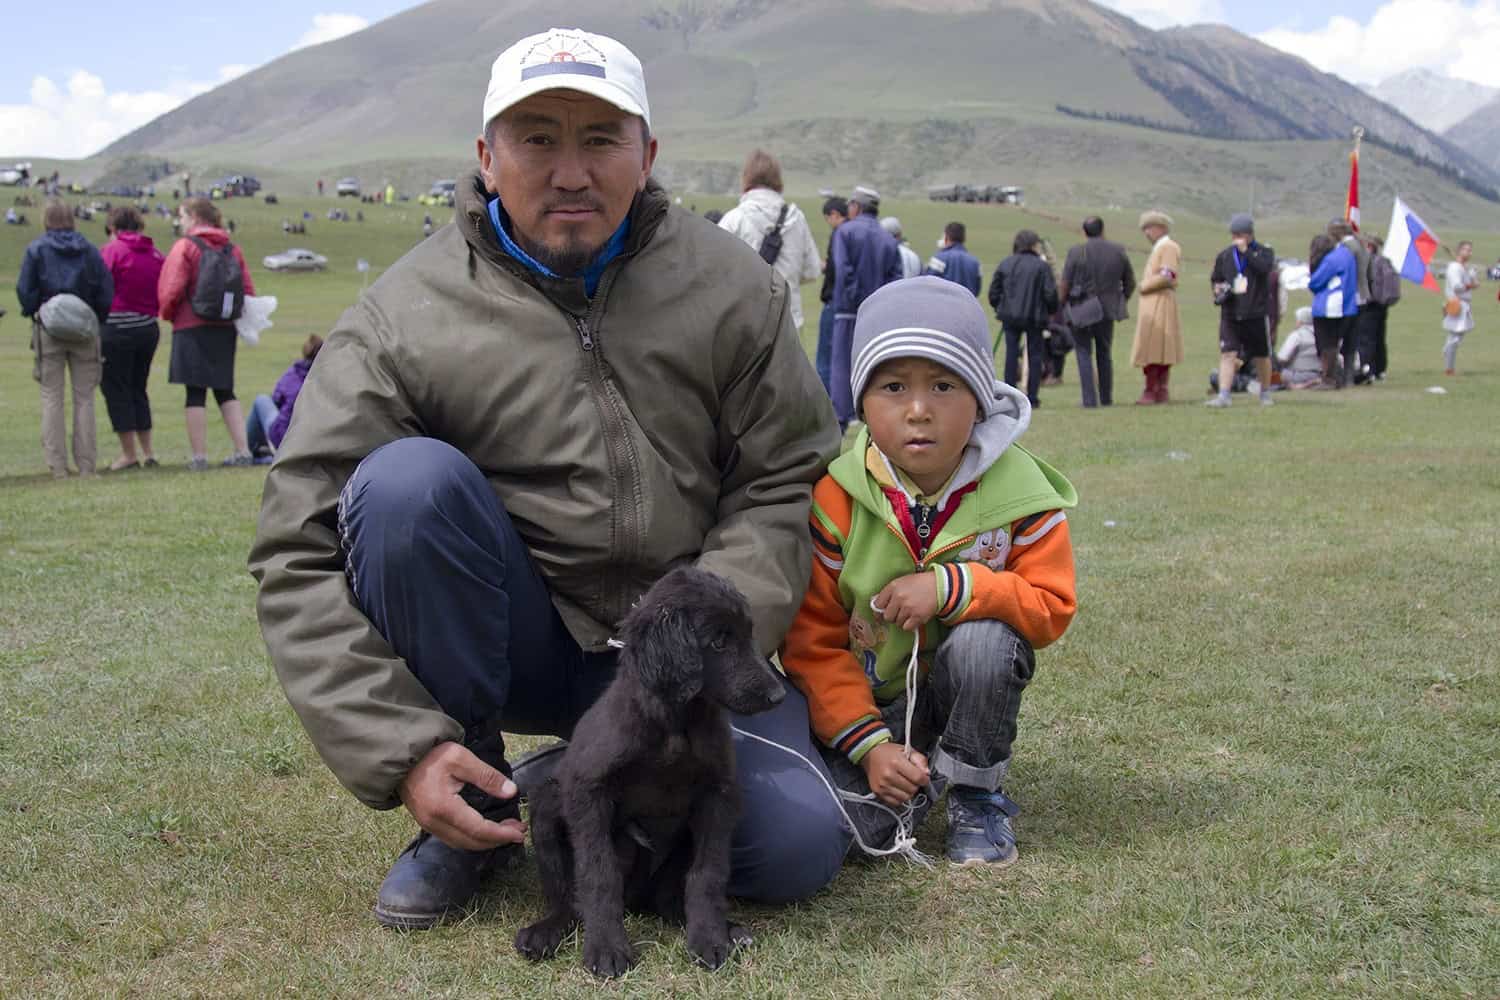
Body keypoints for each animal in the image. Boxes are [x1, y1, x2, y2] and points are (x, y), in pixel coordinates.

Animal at [516, 566, 786, 983]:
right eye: (719, 642)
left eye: (748, 633)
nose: (778, 696)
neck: (675, 725)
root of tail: (638, 902)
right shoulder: (587, 791)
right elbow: (598, 874)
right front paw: (607, 947)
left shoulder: (719, 797)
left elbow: (708, 873)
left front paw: (710, 936)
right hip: (547, 802)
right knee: (566, 899)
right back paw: (546, 931)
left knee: (669, 897)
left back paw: (720, 927)